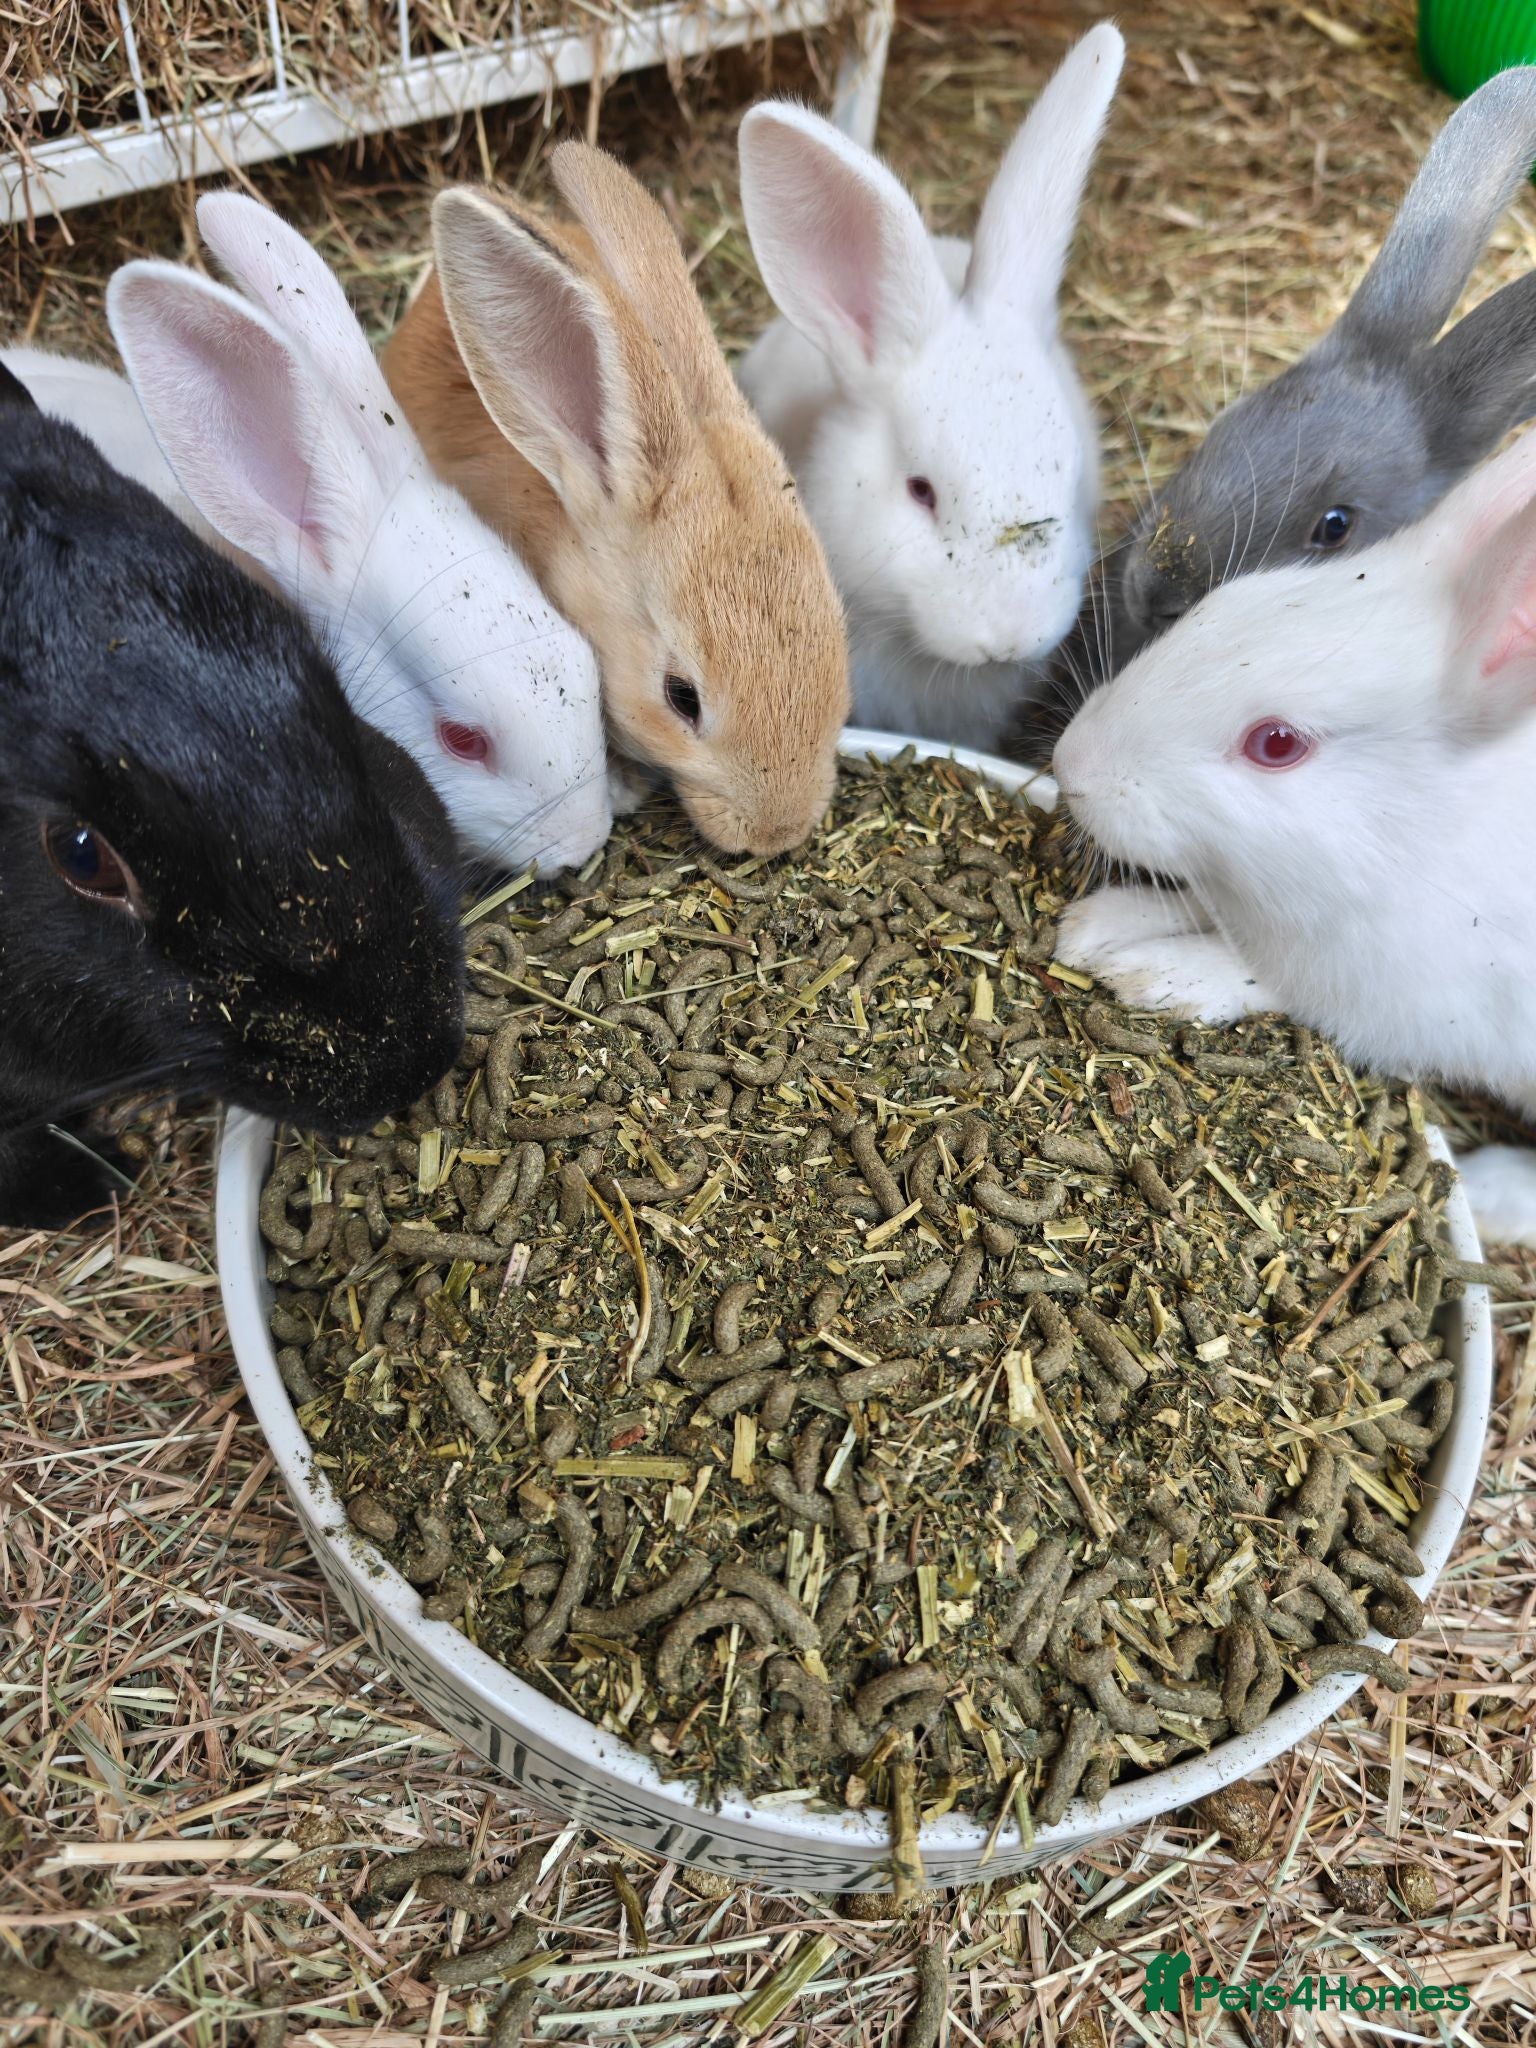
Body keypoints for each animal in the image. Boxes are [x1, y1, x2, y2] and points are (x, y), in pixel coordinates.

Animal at [1050, 423, 1536, 1246]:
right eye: (1222, 604)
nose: (1070, 765)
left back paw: (1495, 1193)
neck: (1414, 838)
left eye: (1277, 744)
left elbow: (1262, 977)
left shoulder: (1392, 994)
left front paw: (1154, 977)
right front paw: (1095, 929)